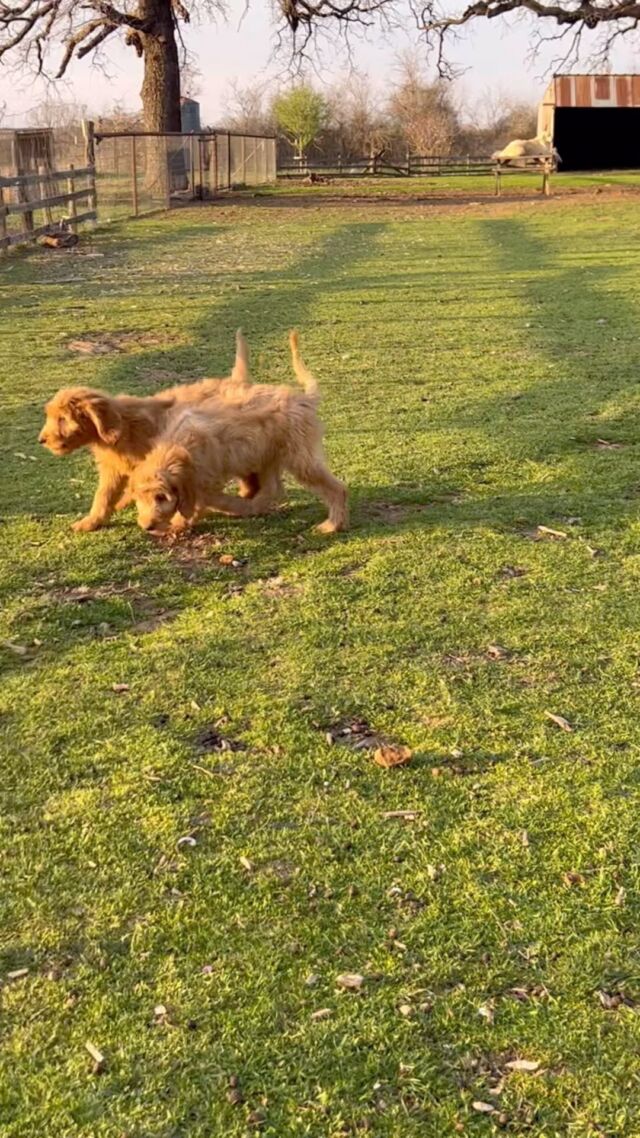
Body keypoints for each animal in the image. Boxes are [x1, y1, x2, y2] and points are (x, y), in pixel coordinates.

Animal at [39, 332, 259, 530]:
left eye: (62, 419)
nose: (41, 440)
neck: (124, 427)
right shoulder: (113, 470)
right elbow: (103, 496)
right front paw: (92, 521)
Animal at [130, 332, 348, 537]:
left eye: (161, 497)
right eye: (141, 497)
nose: (147, 526)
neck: (178, 447)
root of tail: (304, 400)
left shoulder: (205, 481)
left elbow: (204, 502)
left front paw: (178, 523)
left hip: (300, 458)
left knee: (336, 488)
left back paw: (333, 523)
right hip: (267, 455)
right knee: (273, 488)